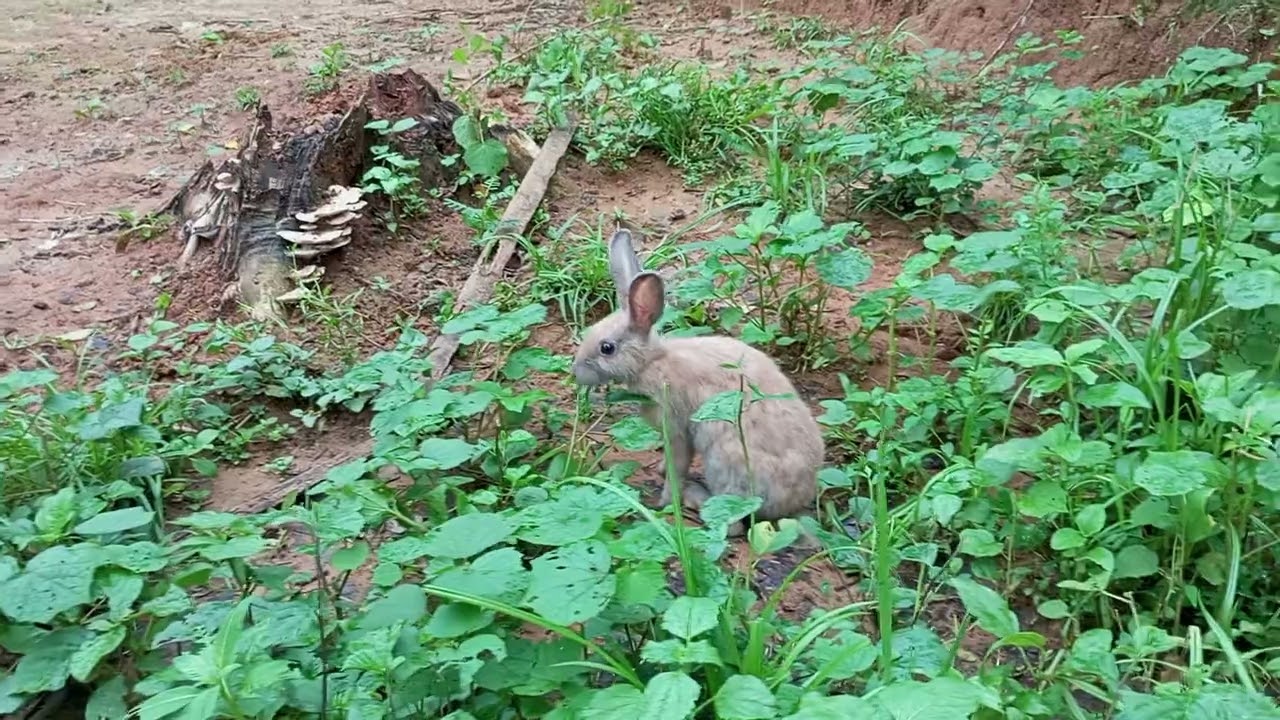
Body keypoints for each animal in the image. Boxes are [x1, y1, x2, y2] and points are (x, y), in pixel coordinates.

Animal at [571, 228, 825, 536]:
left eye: (606, 348)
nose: (576, 373)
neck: (652, 362)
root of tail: (797, 500)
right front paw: (659, 471)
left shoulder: (676, 427)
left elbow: (677, 465)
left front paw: (665, 501)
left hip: (726, 460)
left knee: (733, 524)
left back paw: (695, 496)